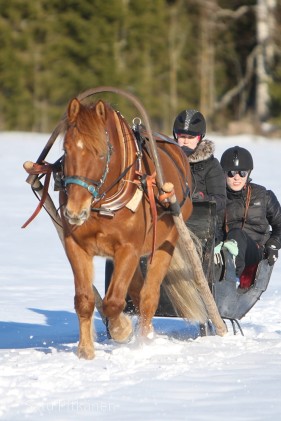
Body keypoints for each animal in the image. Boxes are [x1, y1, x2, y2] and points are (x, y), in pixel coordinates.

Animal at [60, 98, 207, 358]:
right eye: (66, 150)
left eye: (101, 153)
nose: (74, 212)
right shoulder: (75, 246)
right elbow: (85, 300)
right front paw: (86, 350)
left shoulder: (128, 248)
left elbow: (113, 302)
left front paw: (121, 329)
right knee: (138, 294)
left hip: (165, 243)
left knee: (148, 297)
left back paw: (145, 340)